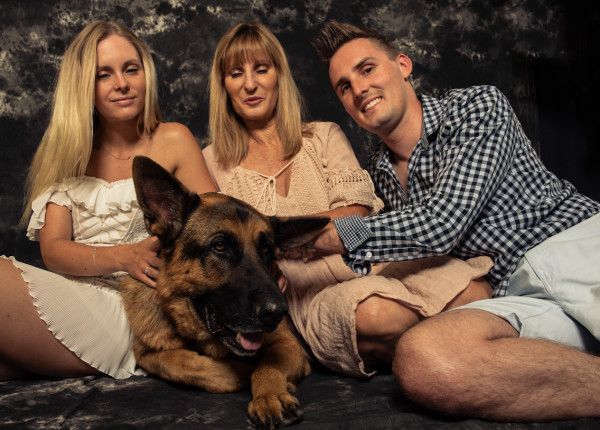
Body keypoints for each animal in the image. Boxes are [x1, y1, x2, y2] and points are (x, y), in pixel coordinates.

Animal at [120, 156, 329, 429]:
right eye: (220, 246)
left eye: (267, 250)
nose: (277, 312)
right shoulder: (147, 354)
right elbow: (187, 364)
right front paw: (242, 372)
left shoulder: (287, 342)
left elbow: (268, 365)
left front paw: (269, 394)